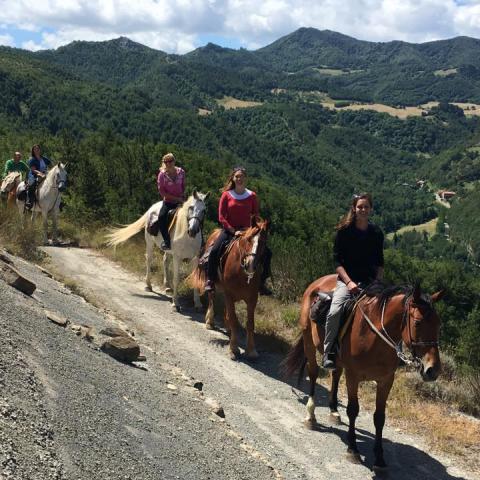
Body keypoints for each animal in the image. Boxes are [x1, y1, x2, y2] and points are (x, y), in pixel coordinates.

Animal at [188, 219, 270, 358]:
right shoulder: (230, 294)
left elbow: (250, 323)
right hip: (214, 284)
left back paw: (227, 327)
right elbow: (234, 319)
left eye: (263, 242)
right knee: (212, 298)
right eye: (249, 239)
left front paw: (251, 350)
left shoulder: (252, 298)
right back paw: (210, 321)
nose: (250, 265)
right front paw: (233, 348)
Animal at [284, 276, 444, 470]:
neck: (374, 336)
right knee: (313, 373)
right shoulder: (353, 376)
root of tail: (318, 282)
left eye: (438, 324)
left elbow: (380, 417)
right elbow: (353, 410)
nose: (433, 370)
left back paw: (334, 411)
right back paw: (310, 415)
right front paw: (353, 449)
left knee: (335, 375)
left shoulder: (385, 381)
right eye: (418, 322)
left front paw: (380, 458)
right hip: (308, 341)